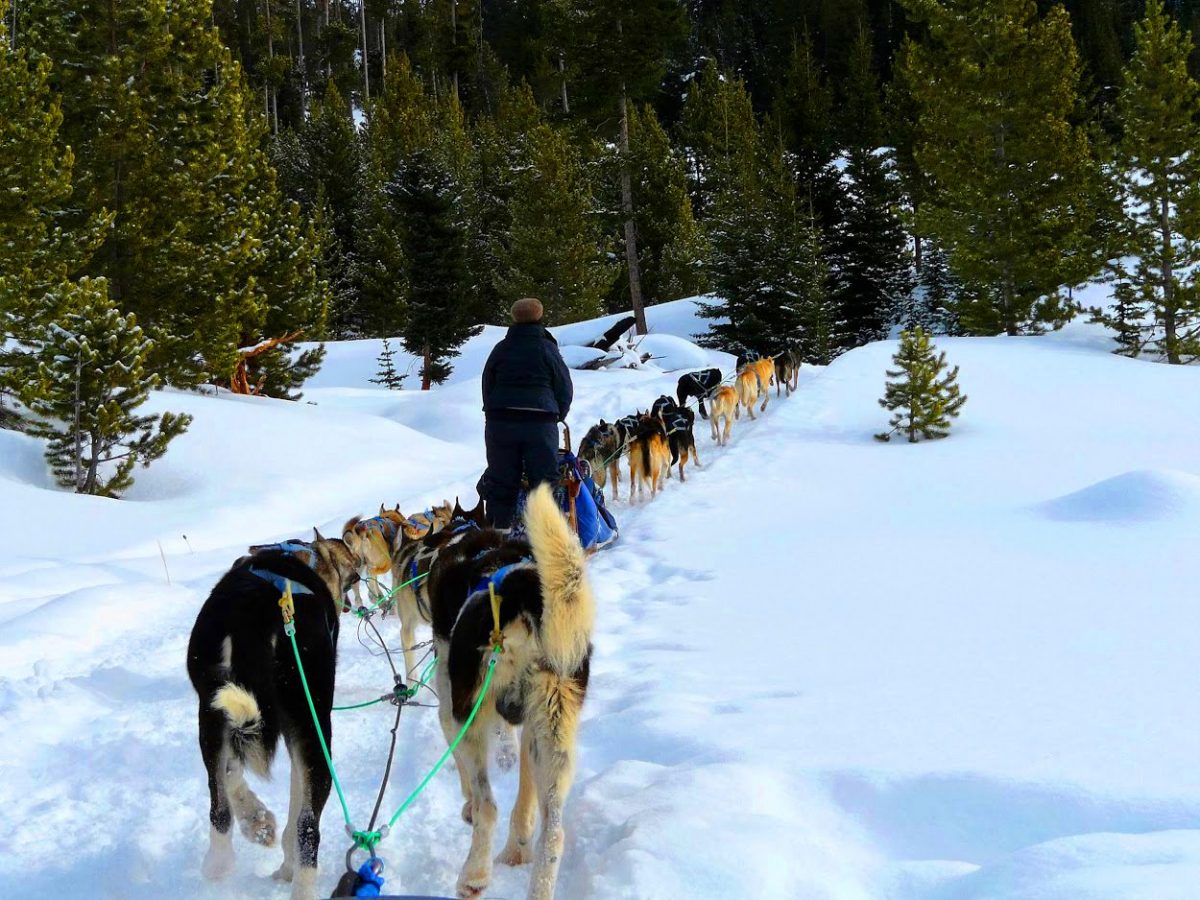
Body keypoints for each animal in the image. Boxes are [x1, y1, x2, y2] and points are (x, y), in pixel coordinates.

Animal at [187, 532, 360, 897]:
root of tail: (255, 613)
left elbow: (231, 775)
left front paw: (257, 822)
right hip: (313, 729)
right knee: (307, 829)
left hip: (212, 713)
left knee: (219, 807)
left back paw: (220, 862)